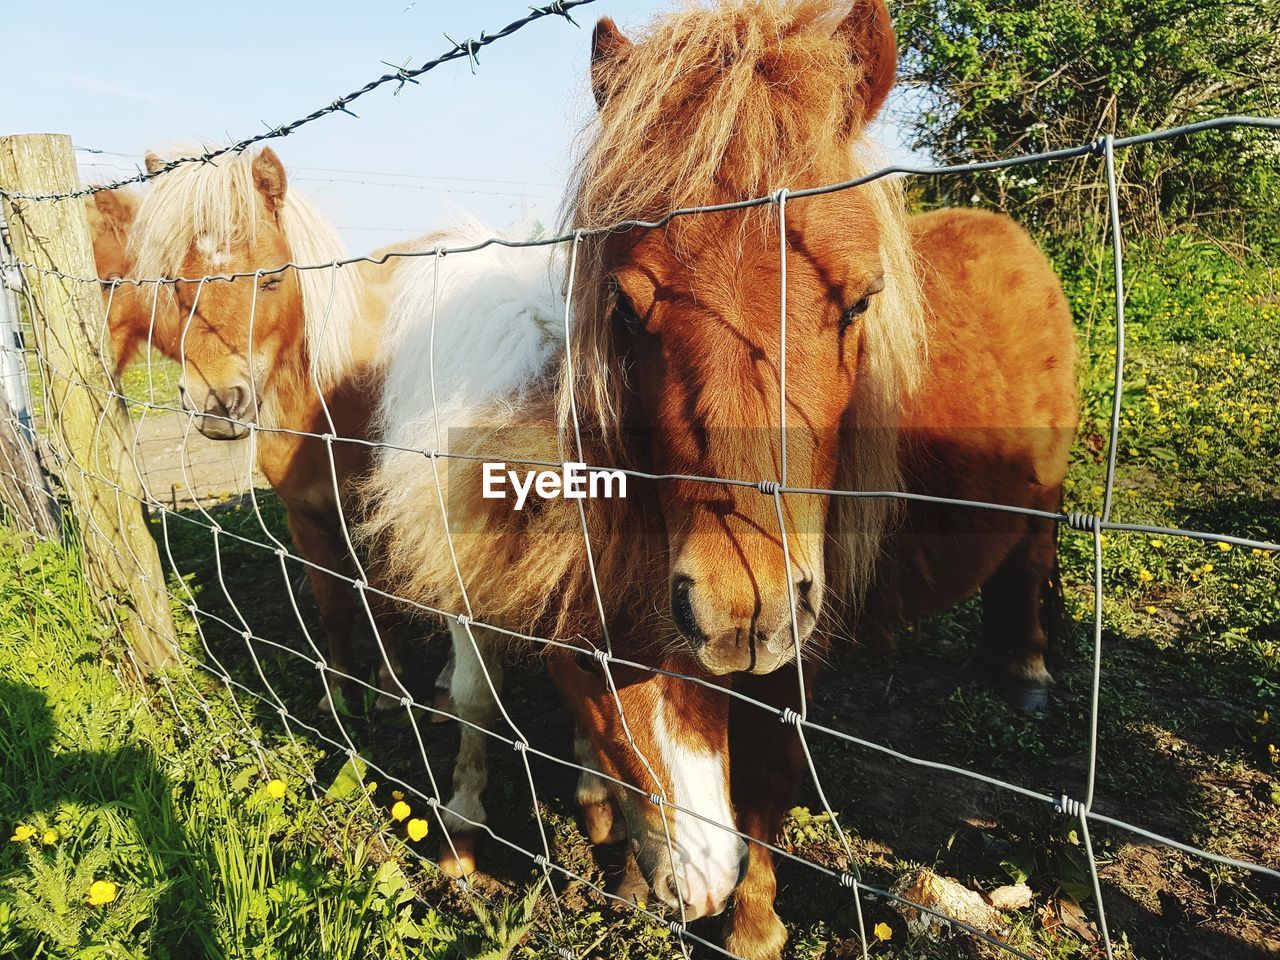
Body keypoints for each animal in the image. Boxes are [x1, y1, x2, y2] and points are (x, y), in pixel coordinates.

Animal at [366, 3, 1075, 957]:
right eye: (626, 308)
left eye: (860, 302)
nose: (742, 608)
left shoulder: (792, 641)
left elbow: (768, 775)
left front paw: (753, 926)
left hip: (1041, 499)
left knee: (1029, 563)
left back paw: (1029, 670)